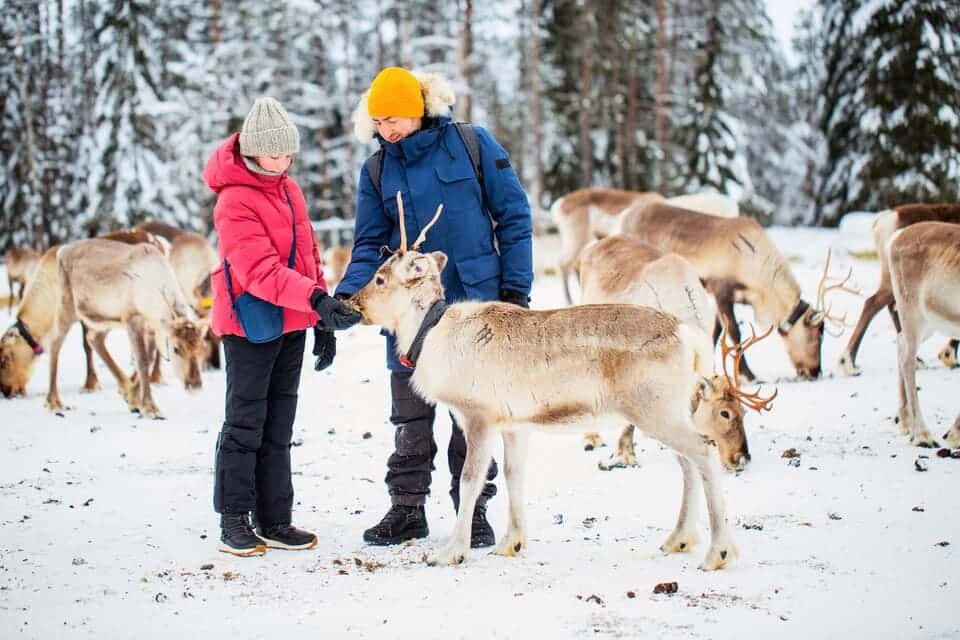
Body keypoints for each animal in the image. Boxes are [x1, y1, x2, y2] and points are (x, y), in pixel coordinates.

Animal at [349, 193, 739, 570]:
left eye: (380, 278)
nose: (352, 301)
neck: (430, 335)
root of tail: (688, 336)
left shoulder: (478, 416)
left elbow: (470, 479)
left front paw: (451, 551)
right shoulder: (514, 424)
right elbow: (513, 474)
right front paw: (511, 543)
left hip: (655, 409)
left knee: (704, 452)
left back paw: (717, 552)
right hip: (668, 411)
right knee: (687, 464)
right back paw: (680, 539)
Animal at [577, 234, 776, 471]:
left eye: (744, 412)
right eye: (724, 413)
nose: (742, 458)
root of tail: (596, 245)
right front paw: (624, 455)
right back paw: (591, 437)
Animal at [619, 201, 858, 381]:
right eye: (817, 336)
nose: (814, 372)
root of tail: (624, 215)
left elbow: (716, 333)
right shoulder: (721, 290)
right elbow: (734, 333)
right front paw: (749, 376)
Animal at [839, 204, 960, 376]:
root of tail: (884, 219)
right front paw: (948, 355)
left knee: (889, 308)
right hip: (895, 283)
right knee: (873, 303)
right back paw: (849, 363)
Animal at [886, 222, 960, 448]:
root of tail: (896, 237)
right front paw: (953, 436)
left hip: (929, 323)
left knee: (900, 341)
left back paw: (905, 421)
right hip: (912, 313)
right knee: (907, 359)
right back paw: (922, 435)